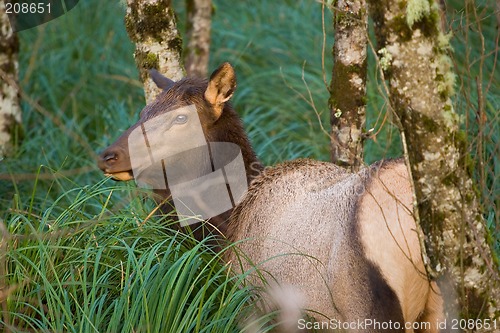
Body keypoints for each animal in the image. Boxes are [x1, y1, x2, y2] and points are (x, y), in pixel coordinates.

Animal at [99, 63, 444, 332]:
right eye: (144, 111)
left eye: (181, 119)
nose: (108, 156)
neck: (227, 227)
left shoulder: (253, 302)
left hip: (367, 309)